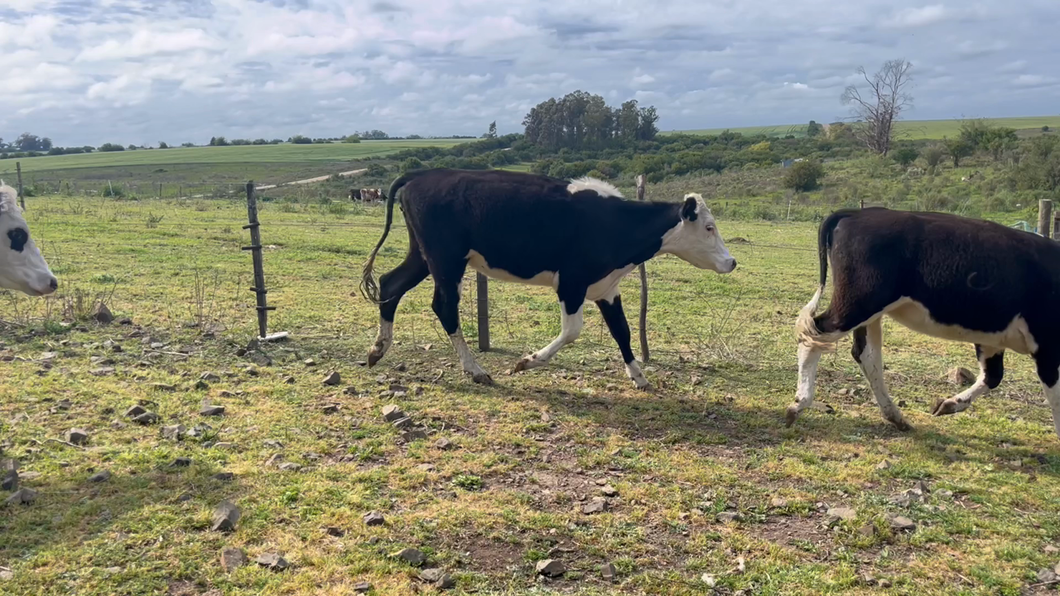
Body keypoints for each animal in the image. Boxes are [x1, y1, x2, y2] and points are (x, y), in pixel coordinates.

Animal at [356, 169, 737, 388]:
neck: (614, 223)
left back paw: (378, 350)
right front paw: (527, 362)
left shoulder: (606, 288)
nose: (731, 262)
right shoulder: (571, 283)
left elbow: (623, 332)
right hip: (446, 260)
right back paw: (475, 369)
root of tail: (420, 175)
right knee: (443, 306)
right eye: (708, 227)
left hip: (423, 255)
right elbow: (572, 332)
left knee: (391, 284)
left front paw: (639, 377)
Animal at [792, 206, 1060, 439]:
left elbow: (993, 376)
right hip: (858, 302)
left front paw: (949, 404)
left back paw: (896, 416)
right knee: (814, 335)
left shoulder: (993, 338)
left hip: (869, 311)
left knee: (866, 354)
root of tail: (859, 212)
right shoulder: (1048, 346)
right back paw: (798, 404)